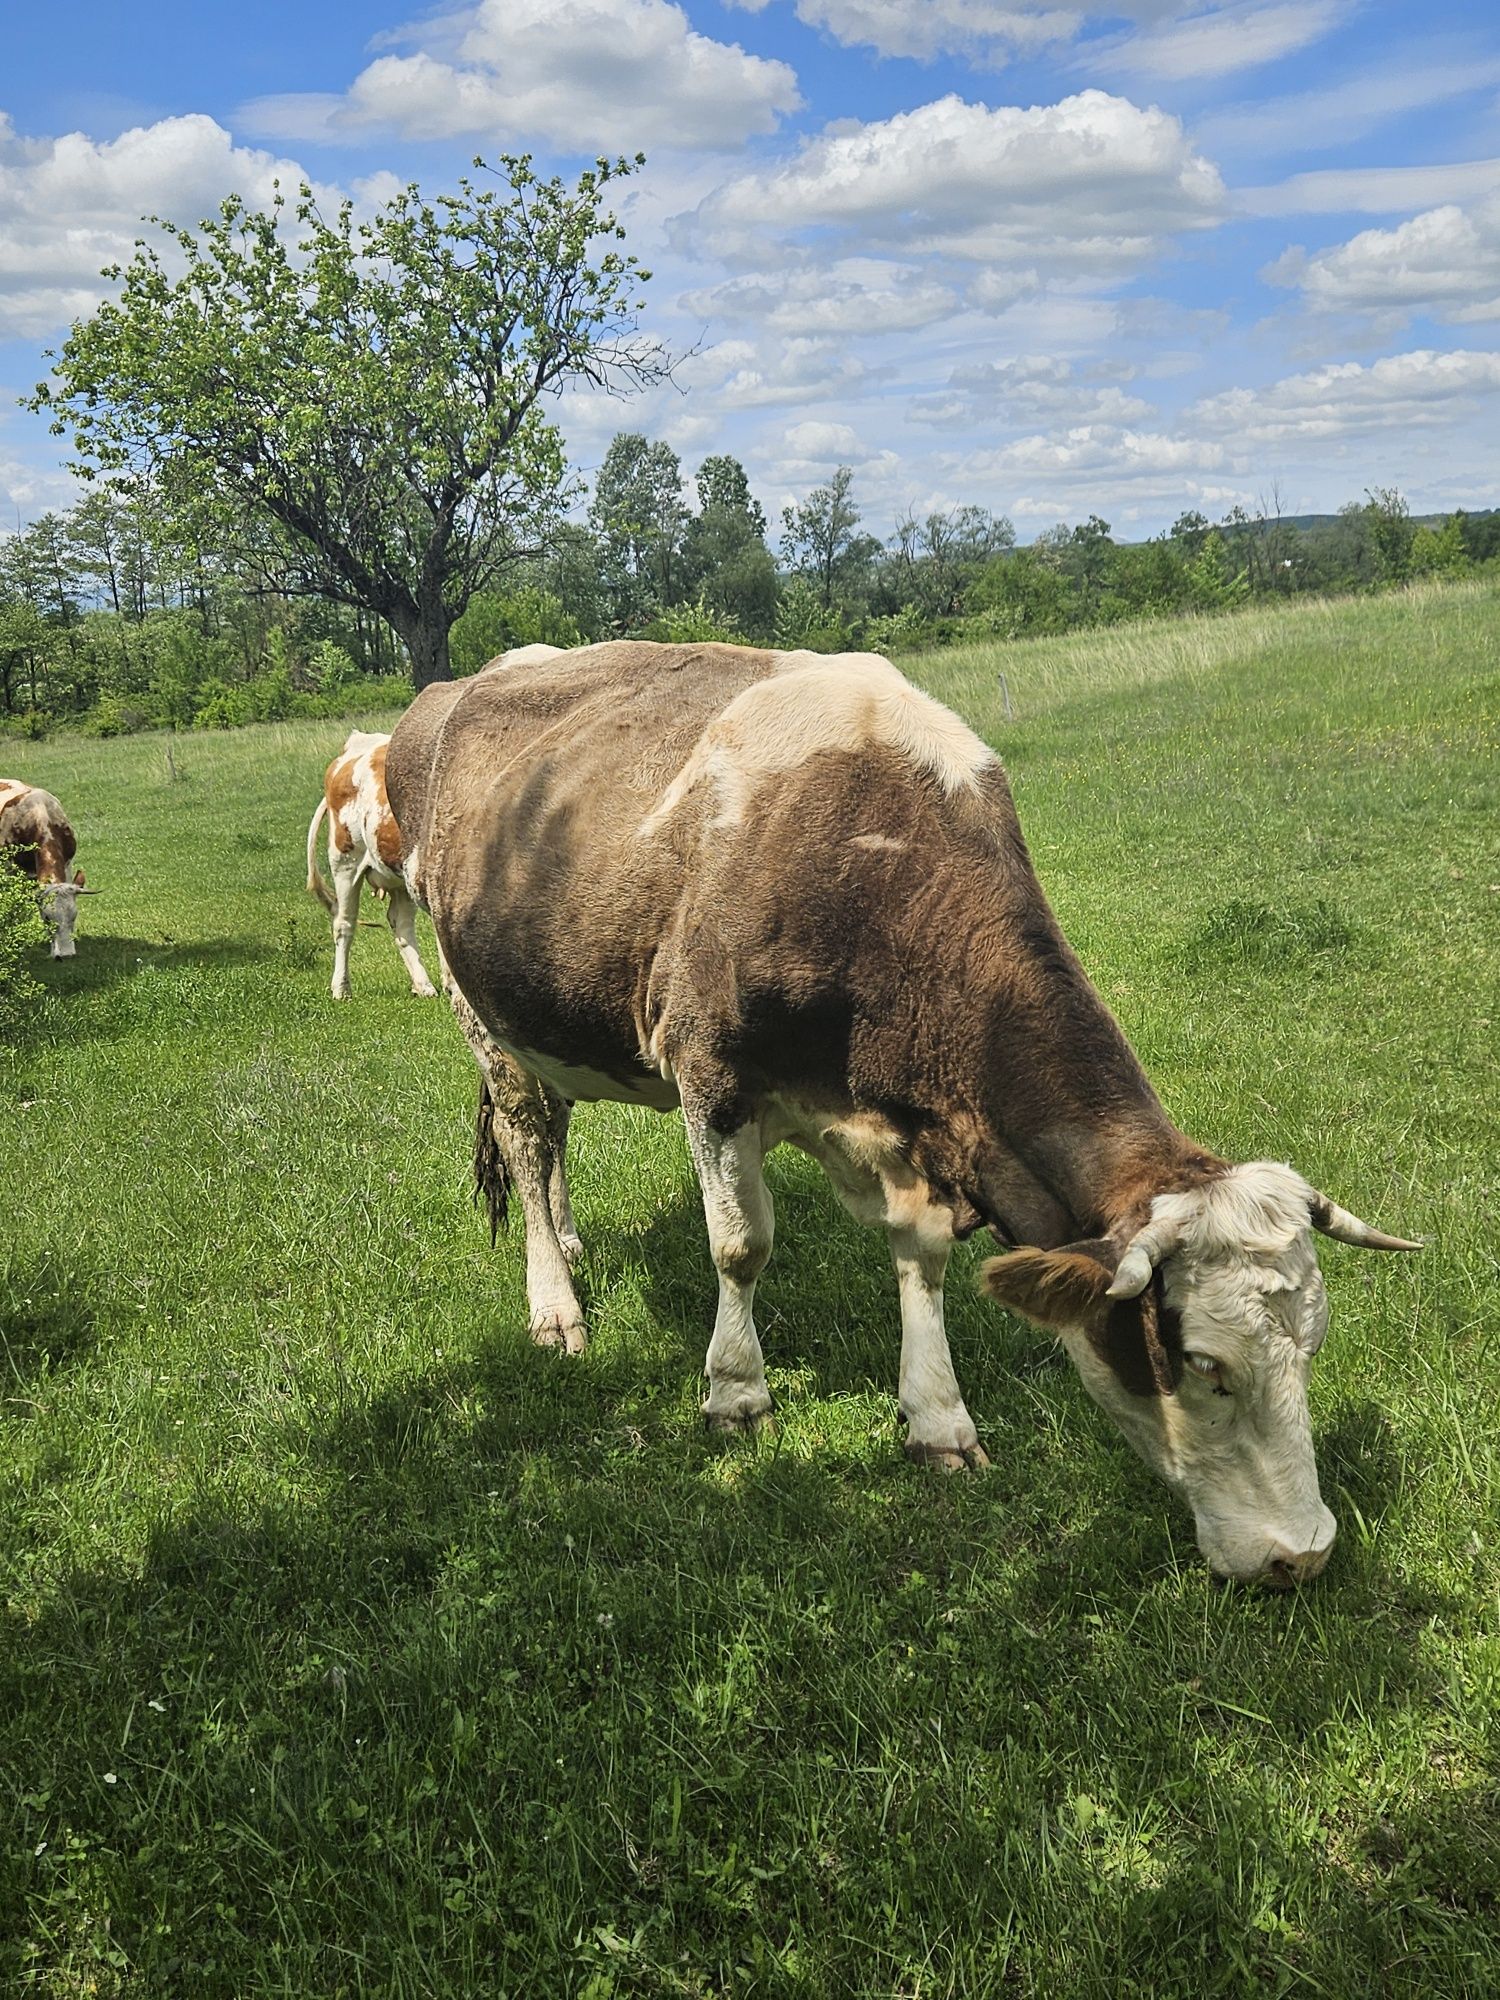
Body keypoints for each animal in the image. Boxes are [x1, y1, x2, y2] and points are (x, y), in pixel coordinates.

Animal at [304, 732, 434, 1000]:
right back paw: (341, 988)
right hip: (345, 862)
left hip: (400, 876)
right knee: (344, 923)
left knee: (401, 924)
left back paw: (424, 985)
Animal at [388, 648, 1424, 1584]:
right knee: (528, 1146)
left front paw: (937, 1418)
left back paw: (569, 1243)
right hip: (479, 1008)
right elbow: (740, 1244)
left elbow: (921, 1257)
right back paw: (555, 1303)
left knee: (553, 1135)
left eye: (1312, 1348)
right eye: (1205, 1363)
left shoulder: (916, 1129)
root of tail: (463, 684)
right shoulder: (709, 1070)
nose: (1304, 1554)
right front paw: (736, 1392)